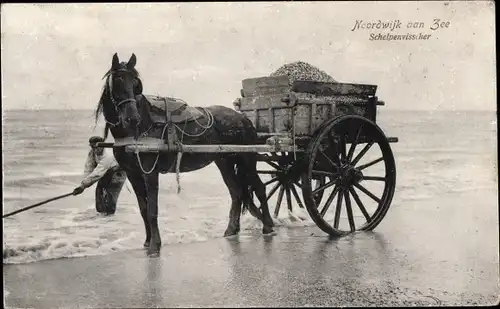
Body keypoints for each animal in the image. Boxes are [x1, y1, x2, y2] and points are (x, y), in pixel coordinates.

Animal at [95, 53, 276, 255]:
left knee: (259, 188)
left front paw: (155, 245)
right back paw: (231, 230)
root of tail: (243, 118)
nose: (132, 118)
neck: (139, 128)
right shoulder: (133, 173)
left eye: (136, 83)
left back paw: (268, 226)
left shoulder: (150, 172)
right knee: (236, 192)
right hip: (225, 162)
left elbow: (152, 209)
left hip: (247, 159)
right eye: (118, 79)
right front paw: (147, 241)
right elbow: (143, 208)